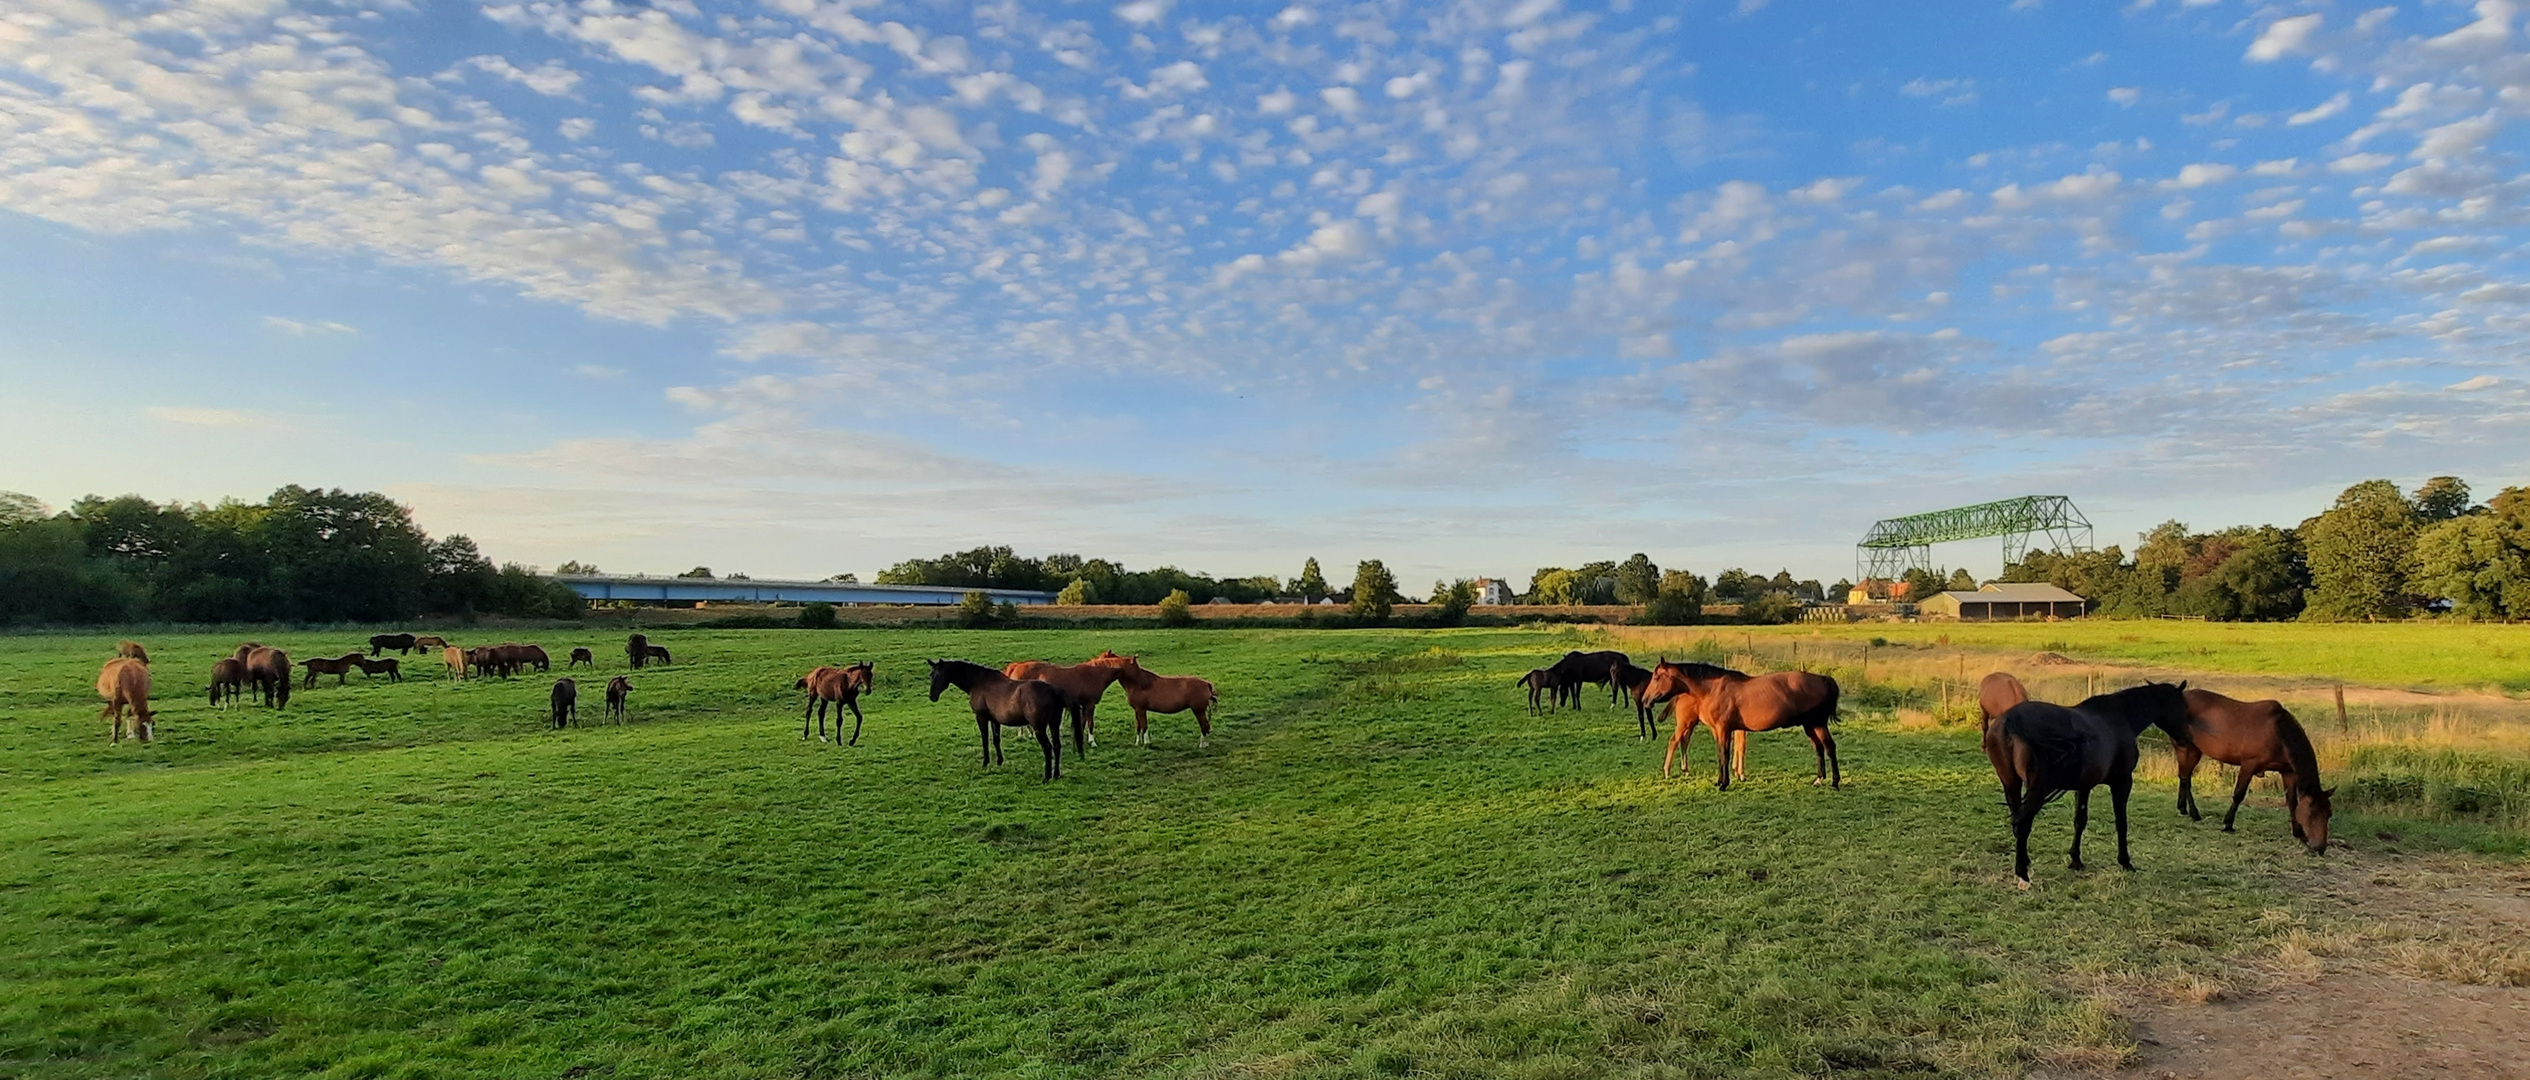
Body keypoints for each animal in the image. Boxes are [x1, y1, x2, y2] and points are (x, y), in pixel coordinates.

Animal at [931, 657, 1067, 784]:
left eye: (938, 675)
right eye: (931, 675)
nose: (932, 696)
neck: (979, 682)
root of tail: (1052, 691)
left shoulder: (981, 717)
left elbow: (985, 740)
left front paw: (985, 763)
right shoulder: (994, 720)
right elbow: (996, 740)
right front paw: (999, 762)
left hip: (1039, 728)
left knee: (1047, 748)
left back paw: (1047, 777)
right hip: (1054, 724)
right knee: (1057, 746)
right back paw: (1056, 774)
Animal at [1639, 657, 1841, 789]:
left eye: (1656, 677)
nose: (1645, 700)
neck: (1713, 689)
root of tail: (1823, 679)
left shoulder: (1724, 729)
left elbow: (1725, 755)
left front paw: (1724, 784)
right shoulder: (1717, 730)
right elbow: (1720, 754)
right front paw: (1719, 781)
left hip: (1817, 724)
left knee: (1829, 747)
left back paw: (1834, 781)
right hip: (1810, 726)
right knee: (1819, 748)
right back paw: (1819, 779)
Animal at [1983, 682, 2206, 890]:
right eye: (2183, 707)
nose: (2188, 738)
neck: (2120, 717)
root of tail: (2010, 722)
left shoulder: (2084, 786)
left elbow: (2080, 820)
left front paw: (2075, 860)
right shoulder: (2122, 782)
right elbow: (2121, 822)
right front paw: (2125, 862)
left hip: (2011, 784)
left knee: (2017, 823)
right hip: (2036, 790)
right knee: (2022, 825)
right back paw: (2023, 875)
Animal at [2175, 687, 2327, 859]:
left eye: (2329, 814)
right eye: (2312, 814)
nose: (2320, 847)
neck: (2277, 731)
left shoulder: (2288, 772)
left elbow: (2292, 801)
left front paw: (2298, 833)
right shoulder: (2249, 764)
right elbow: (2239, 794)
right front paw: (2228, 824)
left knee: (2184, 777)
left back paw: (2183, 808)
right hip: (2186, 748)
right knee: (2185, 778)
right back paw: (2194, 813)